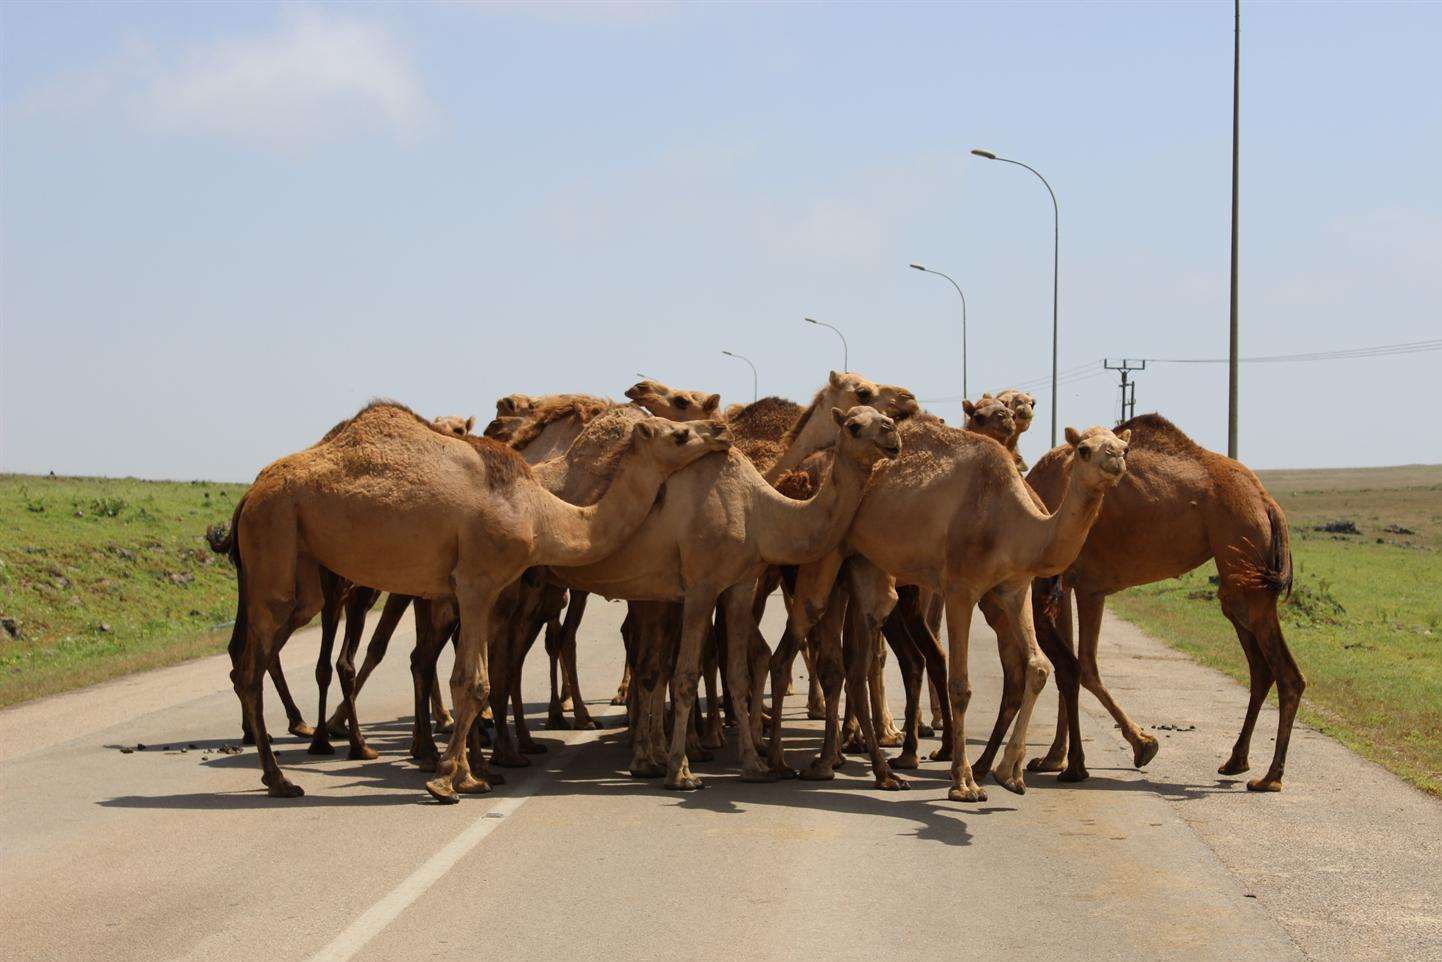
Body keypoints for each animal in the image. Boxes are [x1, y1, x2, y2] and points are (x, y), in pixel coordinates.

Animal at [217, 398, 726, 796]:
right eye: (680, 433)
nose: (720, 431)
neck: (540, 512)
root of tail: (250, 493)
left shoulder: (483, 589)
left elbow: (478, 679)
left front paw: (469, 775)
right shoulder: (477, 581)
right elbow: (473, 680)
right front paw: (448, 780)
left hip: (299, 565)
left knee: (257, 657)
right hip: (274, 533)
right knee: (251, 665)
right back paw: (282, 776)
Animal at [772, 418, 1130, 801]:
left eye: (1124, 447)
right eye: (1084, 450)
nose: (1115, 459)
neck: (1014, 521)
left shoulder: (1015, 588)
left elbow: (1038, 667)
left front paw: (1010, 774)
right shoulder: (961, 588)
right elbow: (960, 686)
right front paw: (964, 783)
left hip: (863, 562)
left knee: (856, 660)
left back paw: (866, 770)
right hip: (827, 552)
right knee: (808, 629)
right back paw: (792, 762)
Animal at [1003, 412, 1309, 790]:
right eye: (1084, 450)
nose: (1115, 460)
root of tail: (1268, 502)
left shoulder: (1078, 586)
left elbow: (1082, 667)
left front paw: (1133, 748)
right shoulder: (1070, 585)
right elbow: (1069, 668)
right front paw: (1053, 758)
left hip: (1244, 552)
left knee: (1286, 673)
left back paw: (1270, 777)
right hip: (1241, 576)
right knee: (1261, 667)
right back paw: (1236, 761)